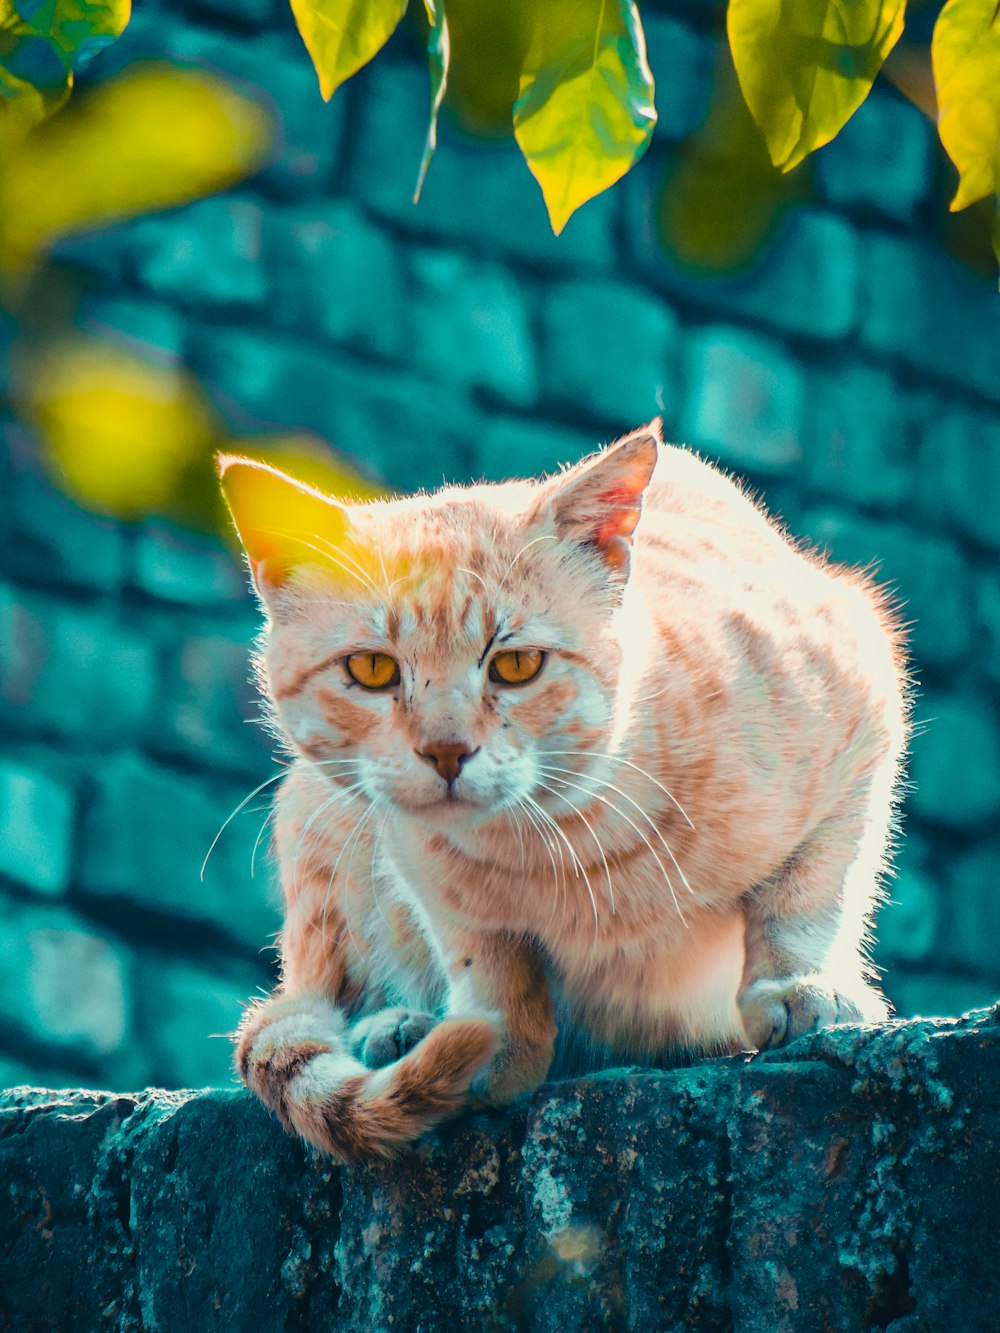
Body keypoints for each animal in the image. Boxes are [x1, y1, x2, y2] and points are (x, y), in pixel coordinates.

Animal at [222, 421, 912, 1162]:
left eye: (517, 664)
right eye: (373, 669)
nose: (446, 750)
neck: (563, 847)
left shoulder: (861, 724)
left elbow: (807, 896)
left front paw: (799, 986)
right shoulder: (423, 871)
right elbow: (488, 958)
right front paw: (493, 1044)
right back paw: (398, 1026)